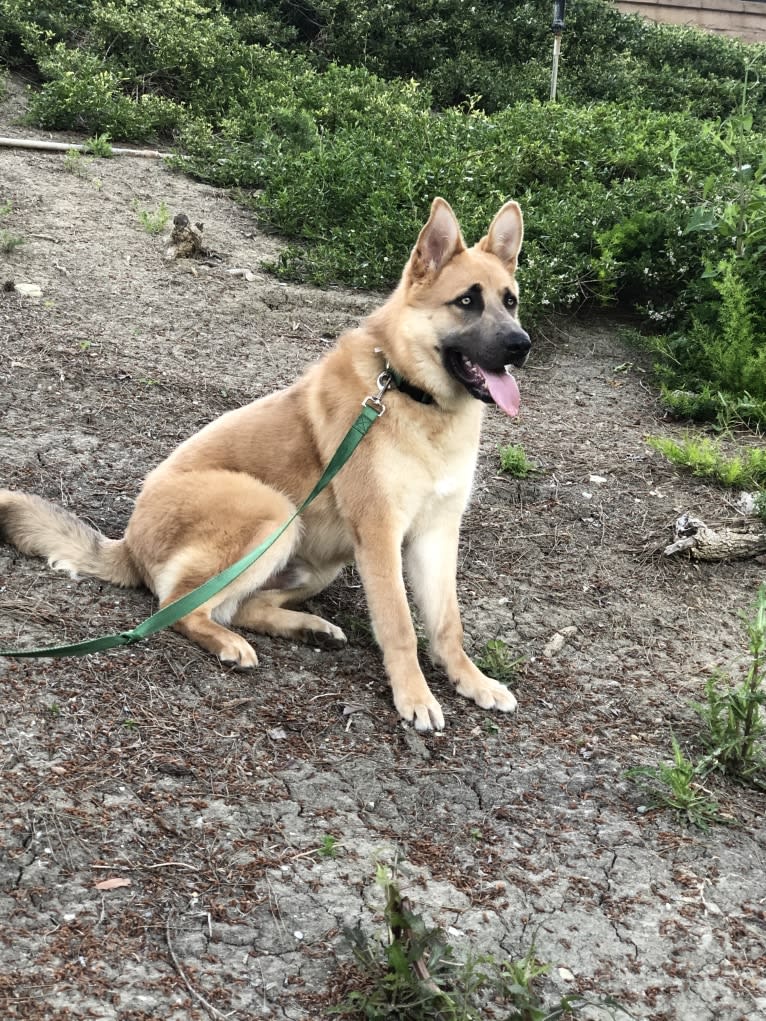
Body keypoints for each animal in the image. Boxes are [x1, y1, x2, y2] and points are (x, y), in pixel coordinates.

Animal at [0, 195, 531, 731]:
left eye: (509, 301)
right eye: (466, 301)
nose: (521, 345)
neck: (409, 391)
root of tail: (127, 543)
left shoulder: (436, 535)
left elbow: (446, 623)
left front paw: (471, 680)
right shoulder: (380, 534)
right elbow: (399, 623)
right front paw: (415, 696)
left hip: (319, 560)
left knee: (237, 606)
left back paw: (307, 628)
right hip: (274, 512)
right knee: (180, 606)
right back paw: (231, 643)